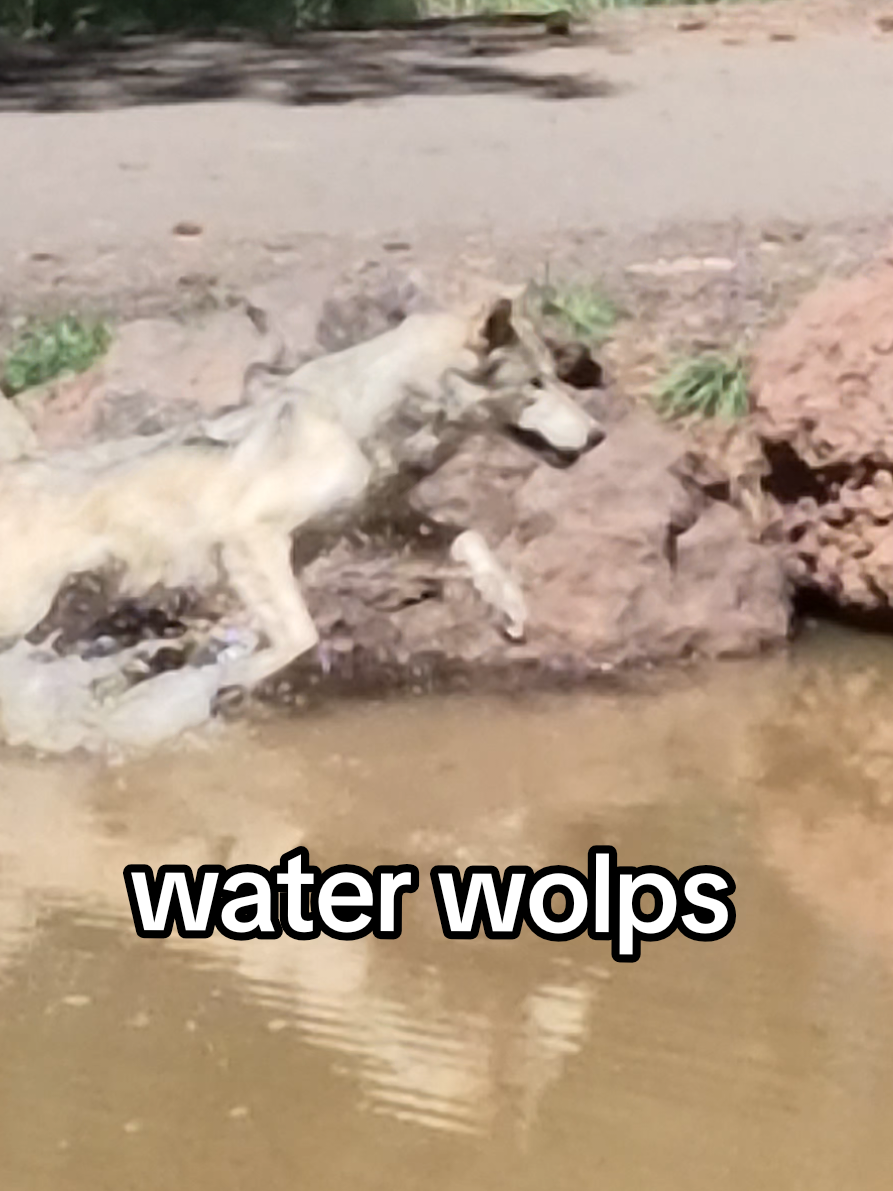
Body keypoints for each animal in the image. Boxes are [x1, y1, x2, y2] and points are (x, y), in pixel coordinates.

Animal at [0, 294, 603, 695]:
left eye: (557, 377)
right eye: (535, 385)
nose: (599, 435)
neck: (367, 422)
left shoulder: (379, 521)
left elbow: (469, 537)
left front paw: (508, 604)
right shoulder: (251, 536)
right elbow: (302, 636)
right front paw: (228, 679)